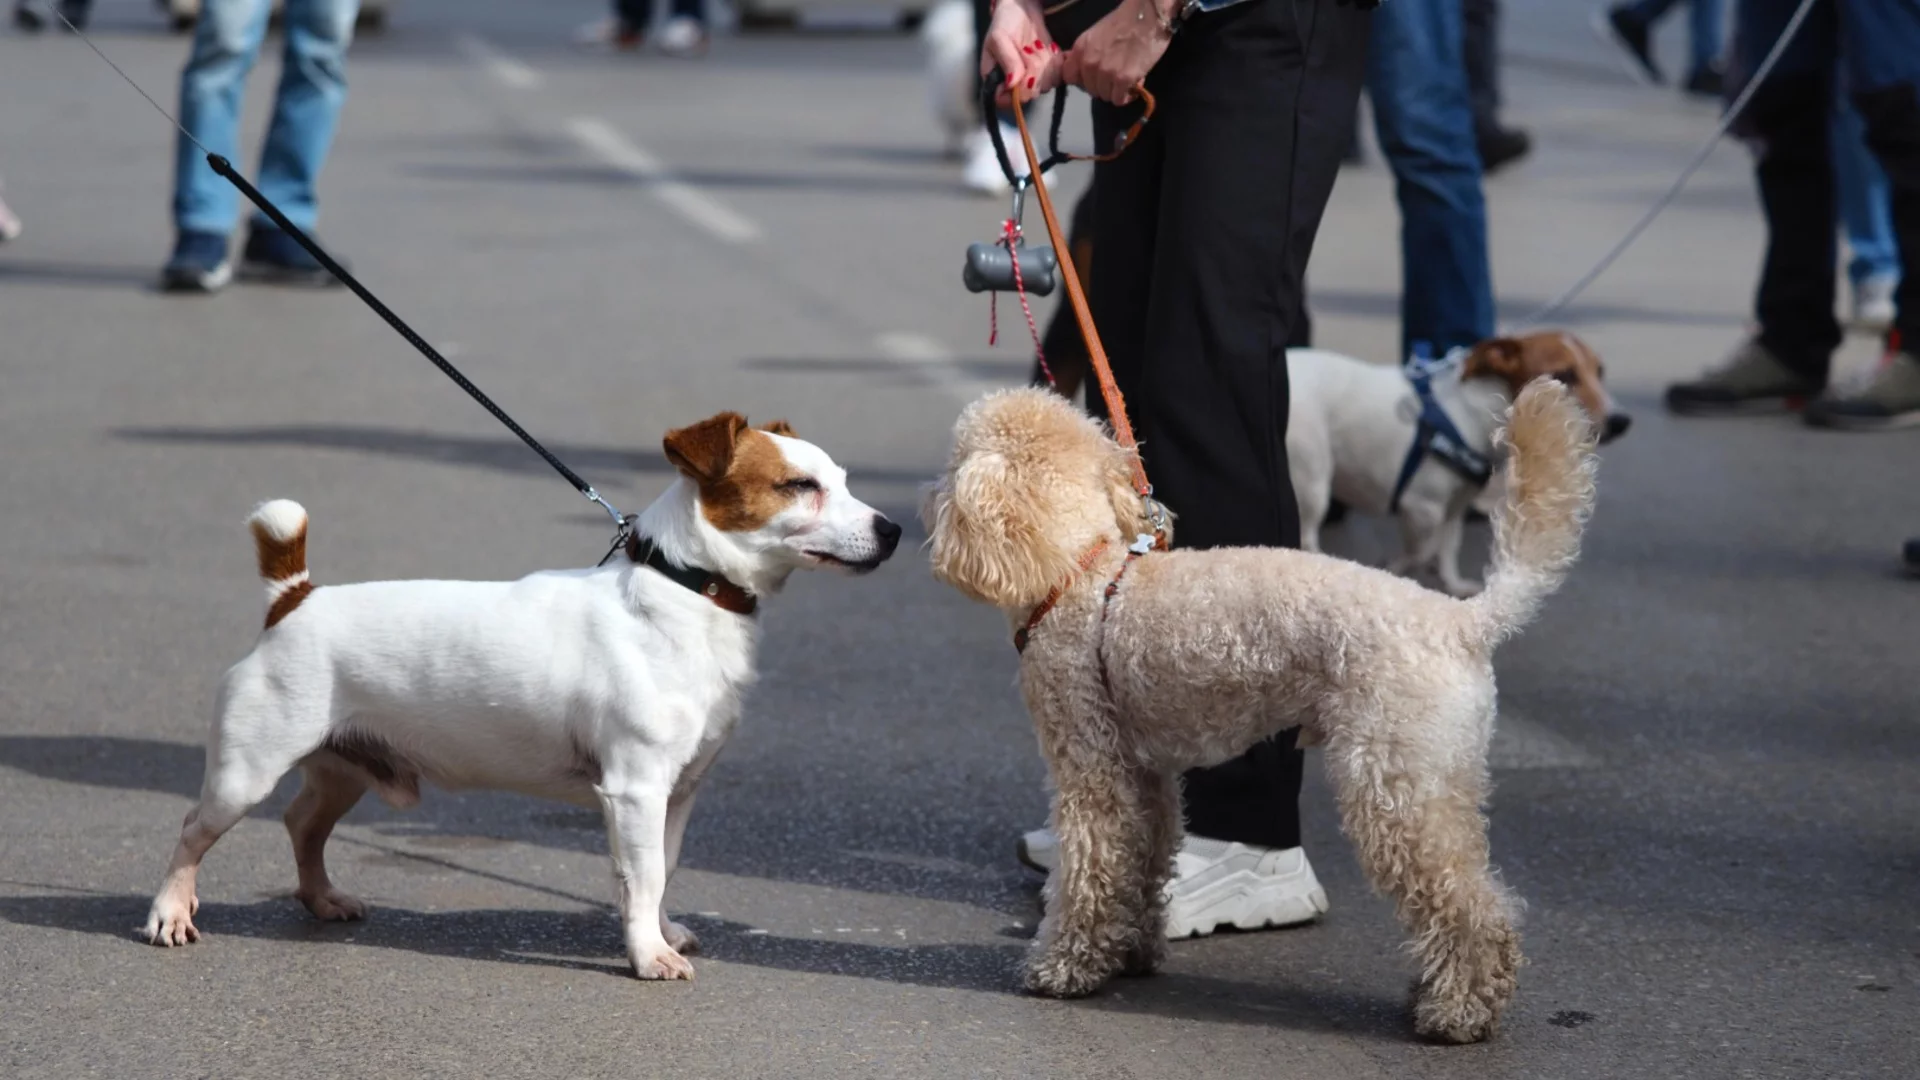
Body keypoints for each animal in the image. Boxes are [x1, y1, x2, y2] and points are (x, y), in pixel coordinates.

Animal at [142, 417, 906, 980]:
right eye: (798, 485)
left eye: (841, 481)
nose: (895, 530)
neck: (685, 589)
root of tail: (293, 599)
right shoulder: (635, 790)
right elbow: (643, 877)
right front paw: (647, 955)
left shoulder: (678, 793)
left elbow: (658, 872)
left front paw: (659, 933)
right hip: (245, 773)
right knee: (192, 831)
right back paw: (171, 913)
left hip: (346, 768)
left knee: (303, 824)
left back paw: (322, 899)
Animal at [1290, 330, 1635, 595]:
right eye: (1564, 374)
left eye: (1600, 371)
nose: (1621, 421)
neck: (1472, 413)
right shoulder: (1421, 508)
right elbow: (1420, 551)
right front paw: (1394, 568)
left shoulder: (1455, 506)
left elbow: (1447, 548)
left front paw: (1451, 583)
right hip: (1313, 483)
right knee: (1306, 536)